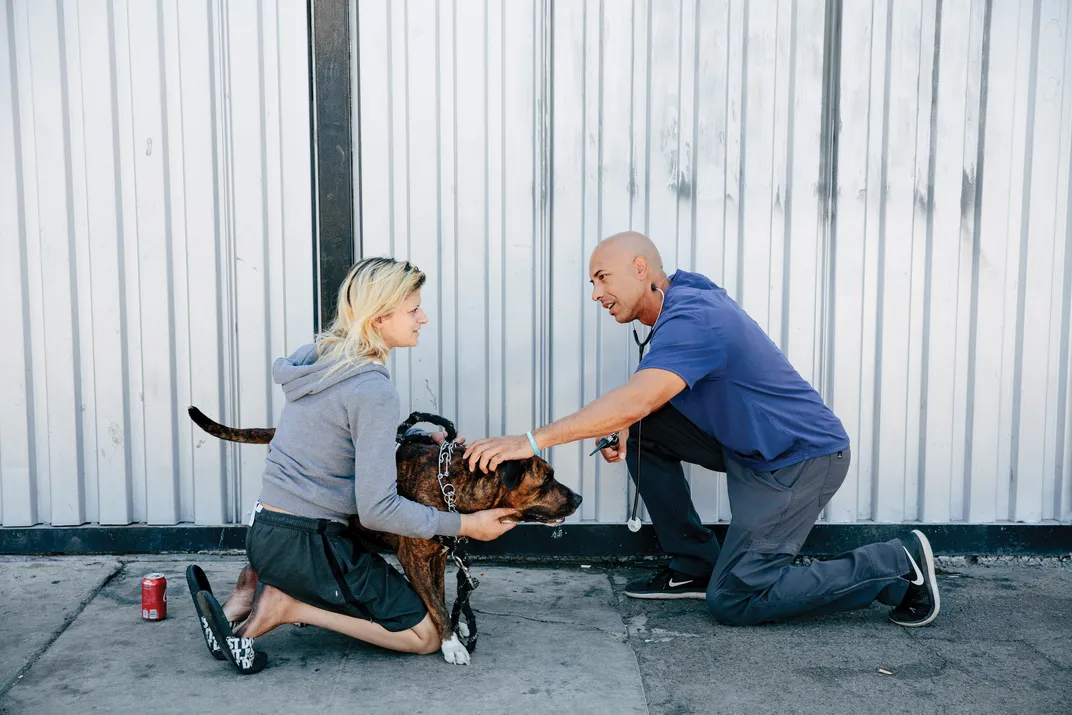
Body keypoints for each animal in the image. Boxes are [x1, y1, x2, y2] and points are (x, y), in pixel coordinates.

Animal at [188, 407, 583, 664]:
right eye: (547, 480)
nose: (578, 498)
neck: (453, 482)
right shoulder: (415, 558)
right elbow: (435, 604)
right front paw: (452, 643)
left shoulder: (436, 558)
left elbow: (440, 597)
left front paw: (454, 628)